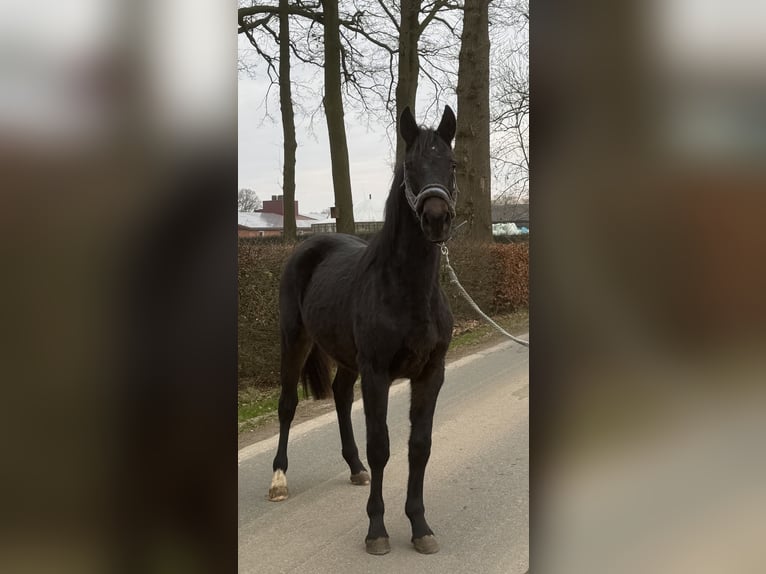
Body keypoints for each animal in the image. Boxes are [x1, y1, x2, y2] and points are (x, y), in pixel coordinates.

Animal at [270, 106, 460, 556]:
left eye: (452, 164)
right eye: (409, 166)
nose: (436, 219)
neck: (406, 289)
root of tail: (305, 248)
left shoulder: (431, 374)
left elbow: (418, 447)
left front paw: (420, 526)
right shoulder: (377, 374)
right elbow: (381, 447)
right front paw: (377, 531)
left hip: (345, 355)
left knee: (340, 395)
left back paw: (354, 468)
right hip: (295, 339)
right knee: (287, 404)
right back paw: (279, 480)